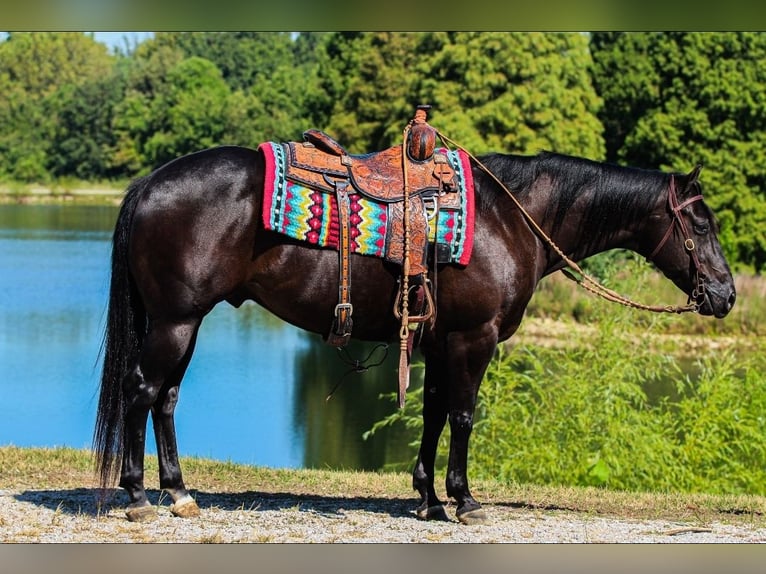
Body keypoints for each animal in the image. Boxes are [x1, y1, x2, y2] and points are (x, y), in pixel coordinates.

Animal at [93, 142, 736, 524]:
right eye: (702, 223)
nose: (726, 295)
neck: (510, 217)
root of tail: (149, 183)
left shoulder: (437, 342)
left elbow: (431, 414)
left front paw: (426, 498)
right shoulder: (474, 340)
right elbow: (463, 415)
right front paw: (464, 499)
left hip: (186, 321)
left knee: (166, 399)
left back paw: (179, 492)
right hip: (175, 321)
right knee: (141, 391)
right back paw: (138, 496)